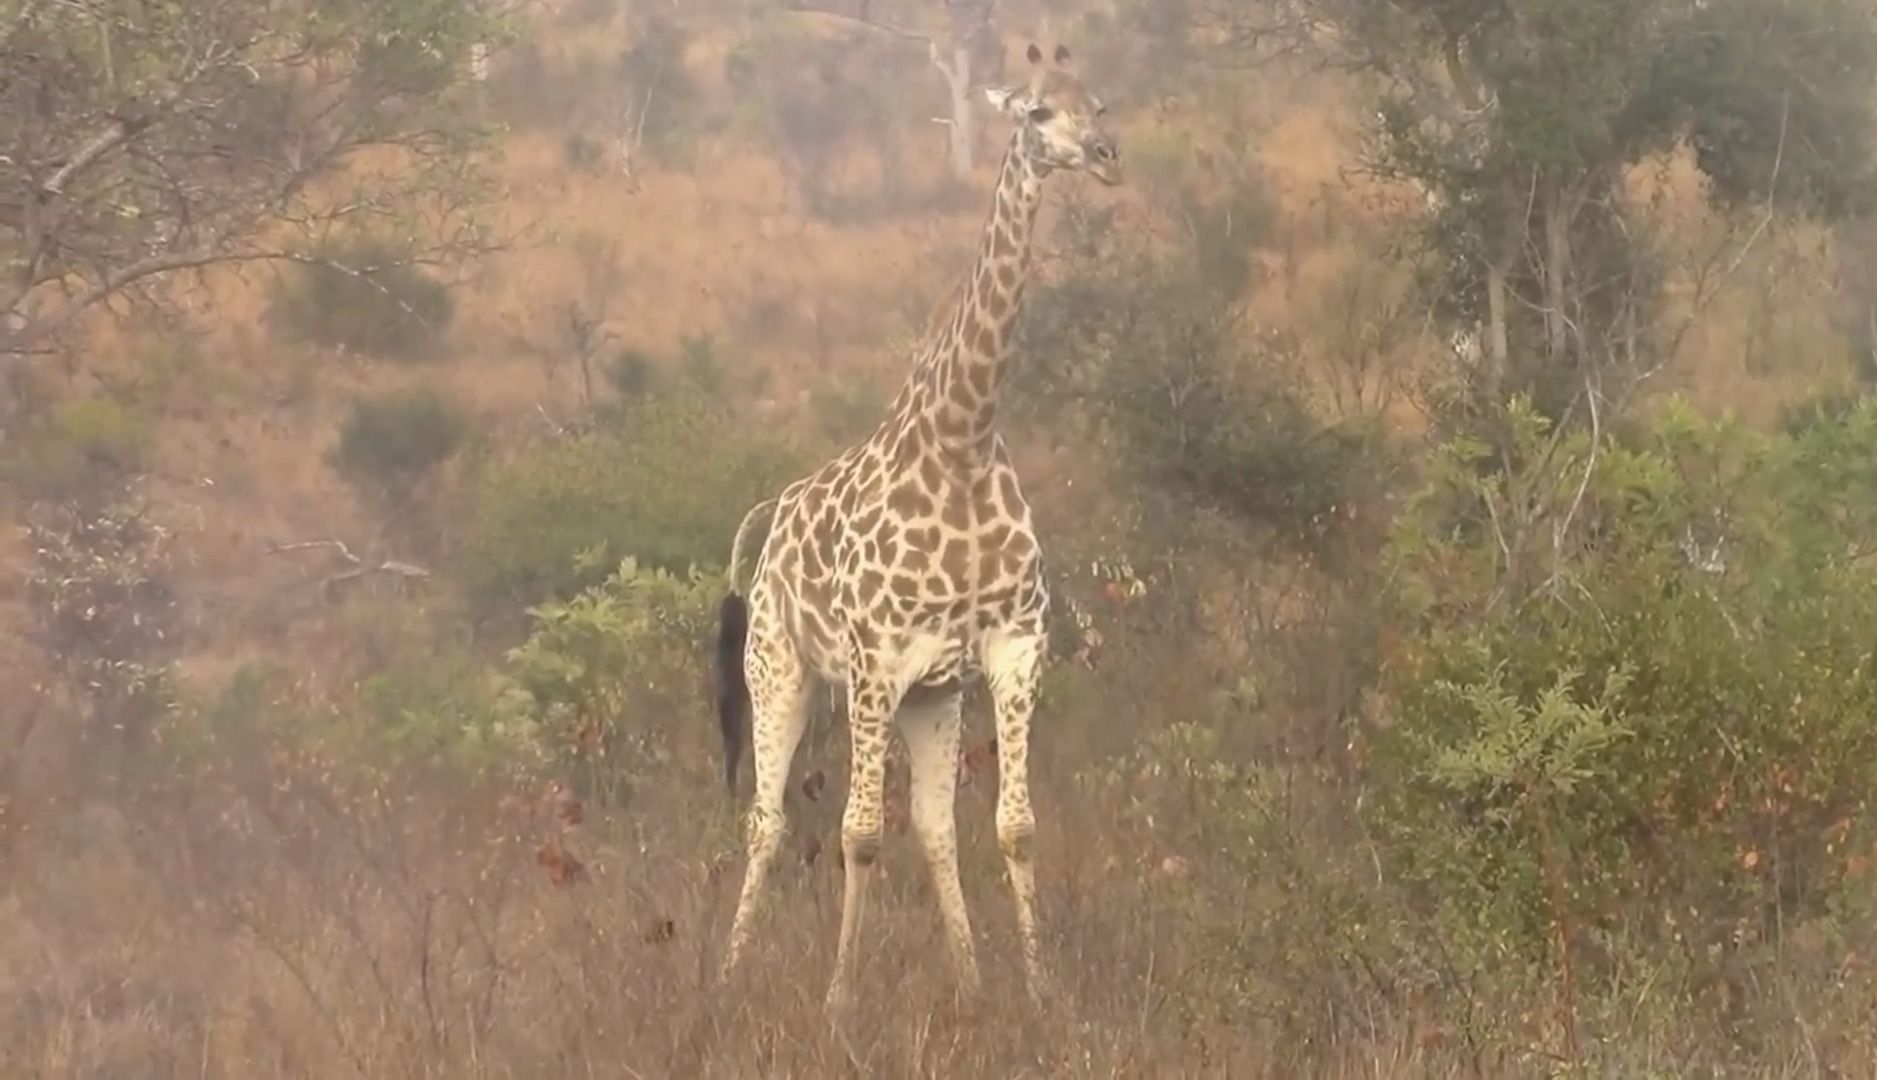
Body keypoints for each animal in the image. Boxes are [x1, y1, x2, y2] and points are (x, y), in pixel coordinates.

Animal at [705, 40, 1111, 1014]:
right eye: (1037, 111)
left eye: (1100, 103)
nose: (1104, 155)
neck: (962, 442)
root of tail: (767, 524)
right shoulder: (874, 661)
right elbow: (857, 834)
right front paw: (836, 1005)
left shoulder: (1009, 646)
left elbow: (1012, 827)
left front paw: (1037, 995)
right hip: (779, 669)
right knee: (766, 821)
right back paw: (729, 979)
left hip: (931, 694)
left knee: (929, 824)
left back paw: (967, 981)